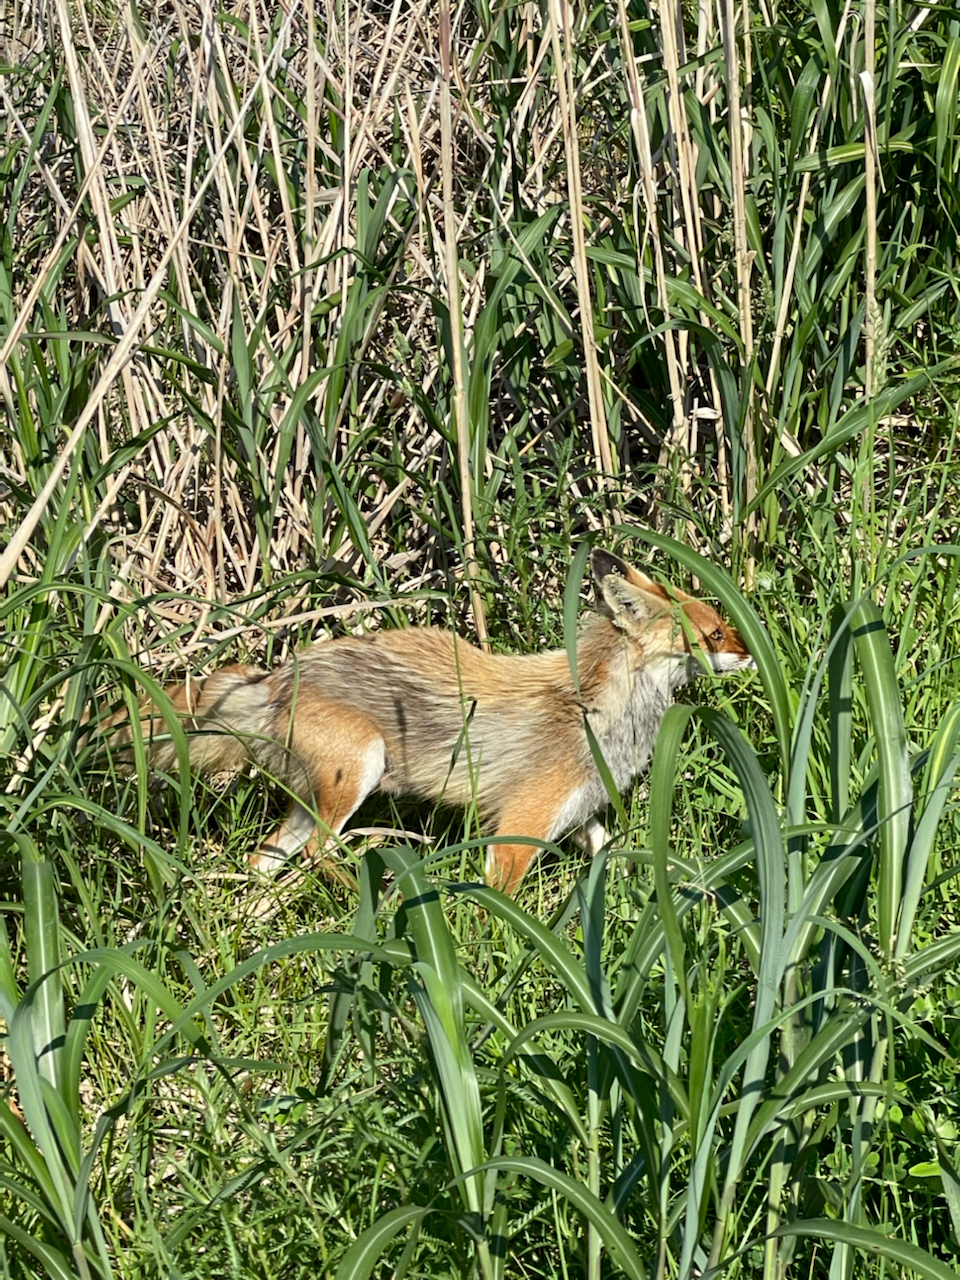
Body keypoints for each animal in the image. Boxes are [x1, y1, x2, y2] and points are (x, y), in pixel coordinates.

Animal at [108, 547, 757, 890]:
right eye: (715, 634)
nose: (754, 652)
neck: (599, 713)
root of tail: (278, 675)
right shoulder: (518, 829)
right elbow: (506, 909)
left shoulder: (579, 817)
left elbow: (612, 857)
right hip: (359, 772)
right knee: (319, 852)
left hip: (309, 805)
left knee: (263, 857)